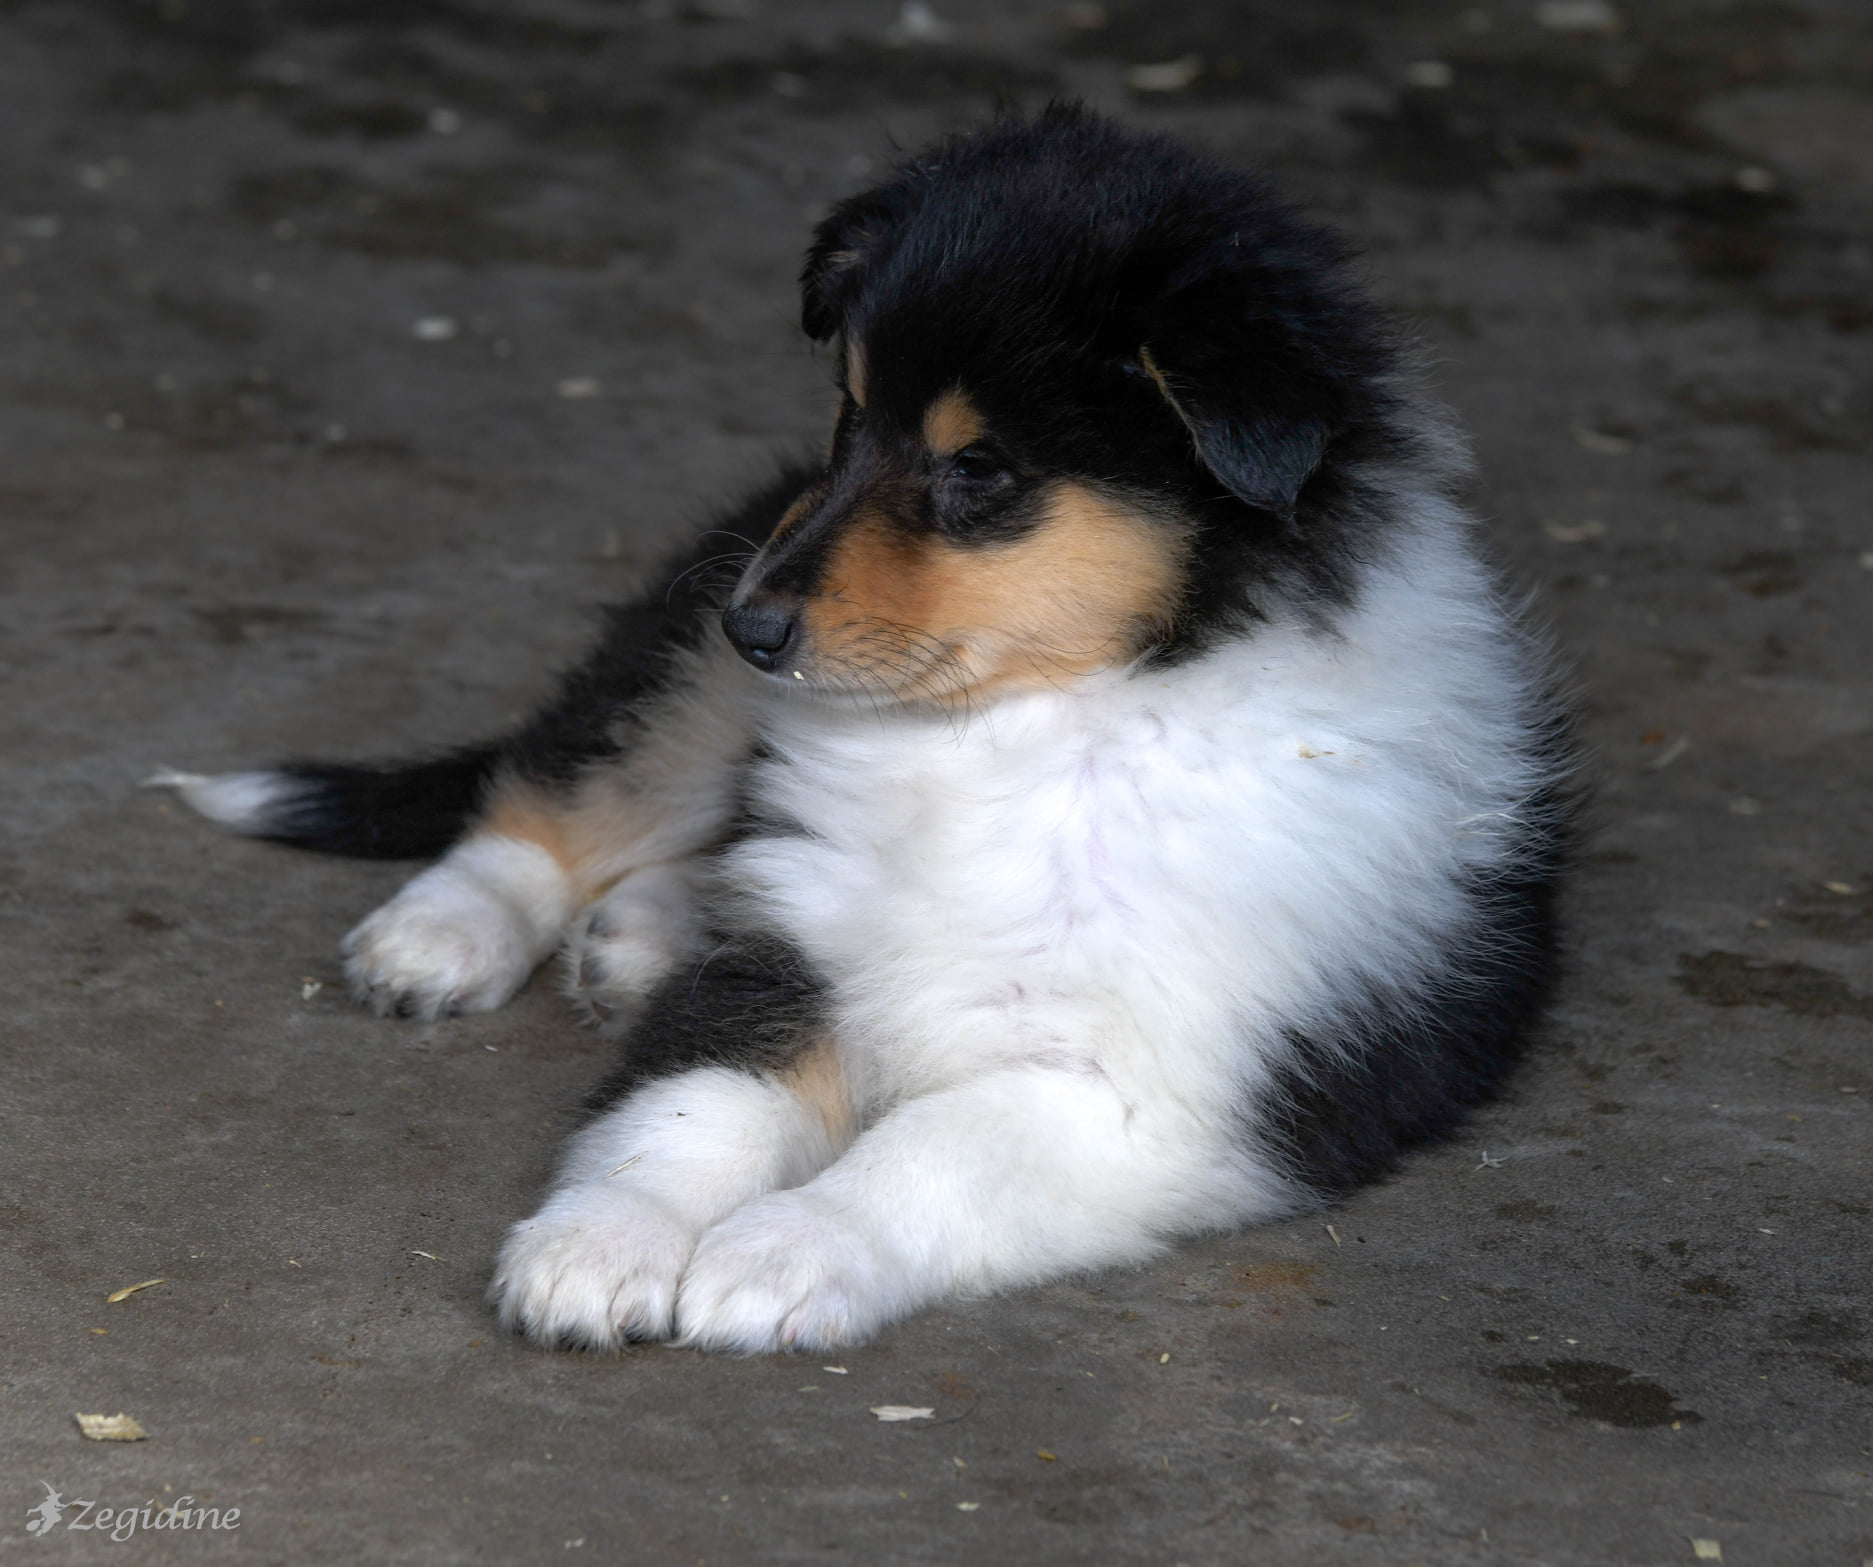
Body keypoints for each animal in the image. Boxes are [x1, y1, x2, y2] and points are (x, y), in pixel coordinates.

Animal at [157, 107, 1565, 1355]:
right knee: (570, 782)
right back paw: (446, 933)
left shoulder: (1146, 1089)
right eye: (851, 415)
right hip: (691, 667)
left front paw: (782, 1255)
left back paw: (640, 934)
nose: (752, 626)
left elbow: (930, 1150)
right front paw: (597, 1243)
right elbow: (688, 1109)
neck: (1041, 723)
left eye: (979, 469)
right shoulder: (796, 949)